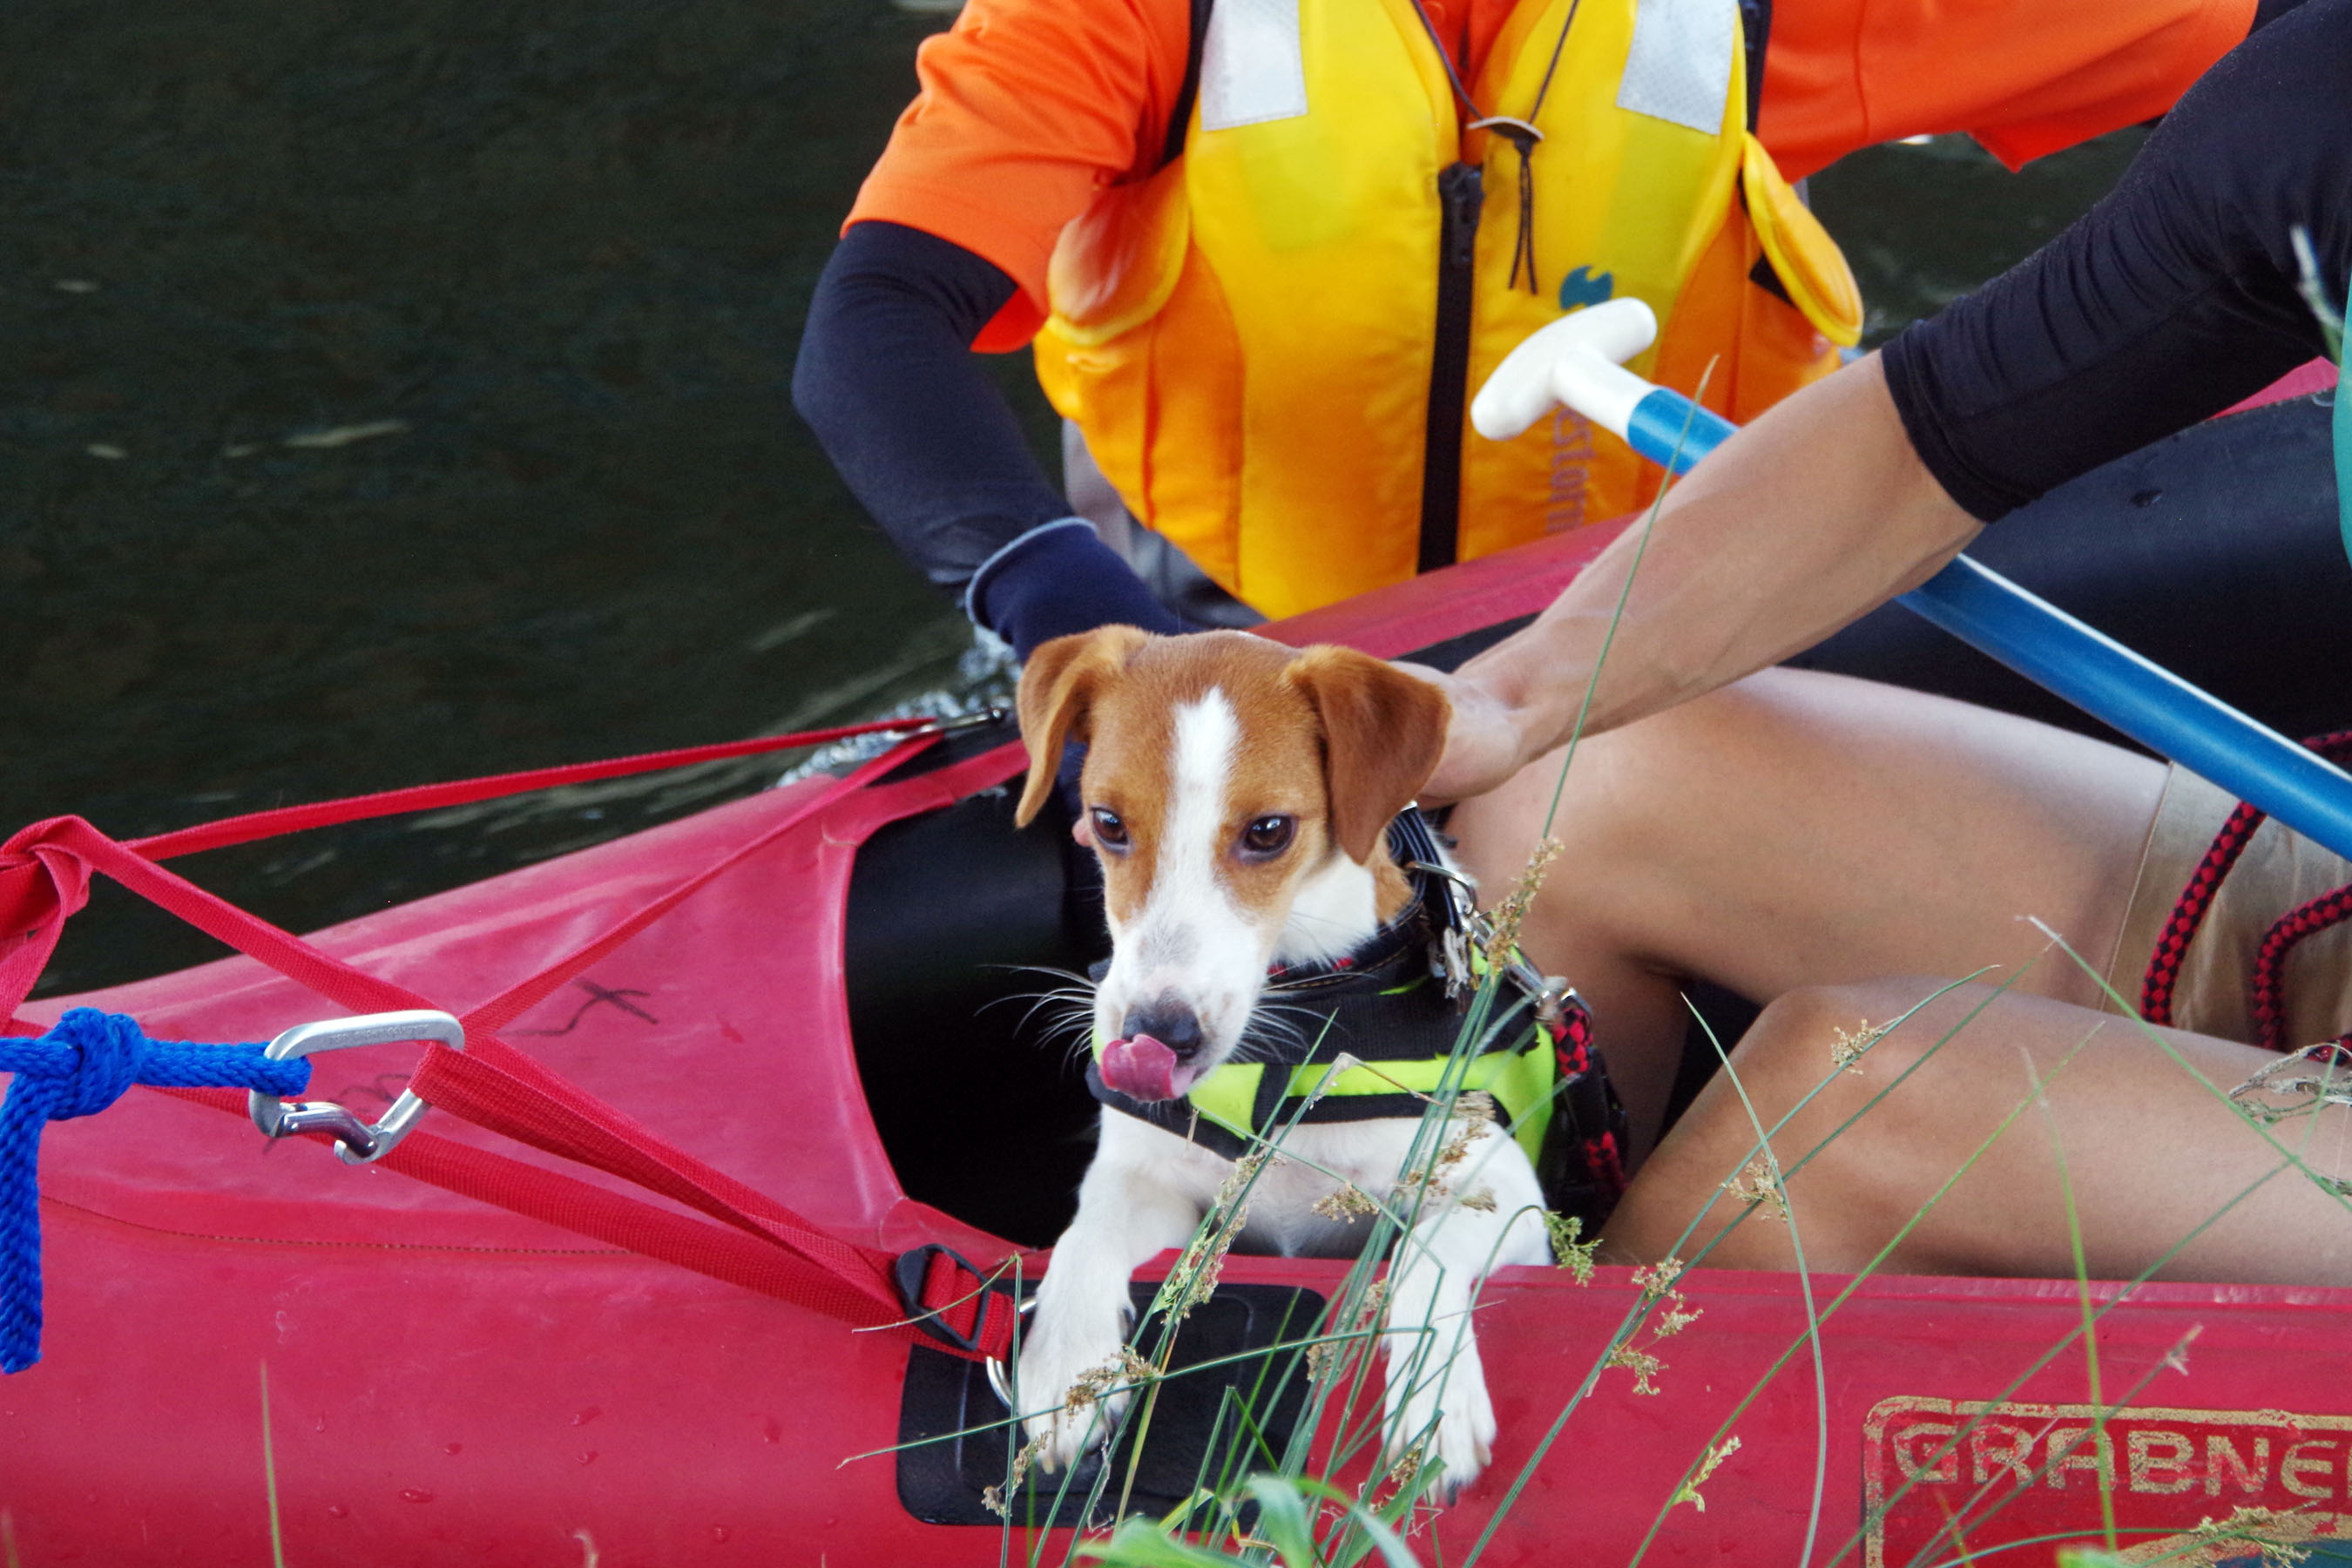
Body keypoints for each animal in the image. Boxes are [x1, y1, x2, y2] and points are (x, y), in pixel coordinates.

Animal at [1002, 620, 1552, 1495]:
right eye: (1108, 822)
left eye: (1268, 832)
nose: (1156, 1034)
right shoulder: (1155, 1182)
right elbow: (1083, 1234)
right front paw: (1065, 1367)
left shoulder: (1502, 1191)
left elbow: (1422, 1257)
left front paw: (1431, 1395)